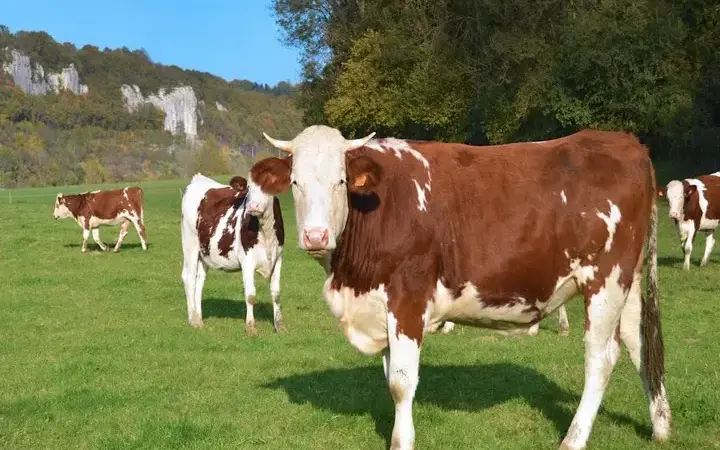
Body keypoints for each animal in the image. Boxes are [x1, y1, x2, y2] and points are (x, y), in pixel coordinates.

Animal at [180, 173, 286, 335]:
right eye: (248, 188)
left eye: (268, 186)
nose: (252, 206)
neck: (266, 231)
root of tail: (199, 179)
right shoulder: (247, 260)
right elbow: (250, 295)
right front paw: (250, 327)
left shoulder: (278, 258)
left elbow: (276, 293)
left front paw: (279, 326)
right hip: (190, 243)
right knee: (189, 278)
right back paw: (193, 320)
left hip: (204, 253)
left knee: (199, 282)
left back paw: (199, 317)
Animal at [252, 125, 671, 450]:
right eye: (295, 183)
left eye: (340, 181)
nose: (315, 236)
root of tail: (625, 141)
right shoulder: (379, 307)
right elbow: (390, 377)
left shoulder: (408, 296)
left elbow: (401, 382)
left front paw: (401, 442)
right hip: (628, 280)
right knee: (638, 341)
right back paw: (661, 426)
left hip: (606, 279)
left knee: (601, 358)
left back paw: (574, 438)